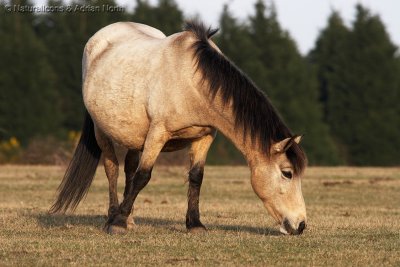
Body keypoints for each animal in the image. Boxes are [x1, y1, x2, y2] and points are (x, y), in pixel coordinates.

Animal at [50, 21, 306, 236]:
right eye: (287, 173)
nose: (301, 225)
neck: (192, 83)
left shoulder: (204, 137)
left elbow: (195, 177)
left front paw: (195, 224)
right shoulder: (158, 133)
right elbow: (143, 176)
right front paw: (118, 223)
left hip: (134, 136)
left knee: (129, 168)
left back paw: (129, 217)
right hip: (102, 131)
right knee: (112, 169)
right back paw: (114, 217)